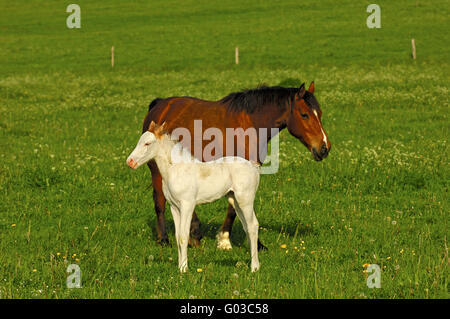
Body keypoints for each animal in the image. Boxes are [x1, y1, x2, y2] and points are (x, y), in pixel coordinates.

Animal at [126, 122, 262, 272]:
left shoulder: (187, 205)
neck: (175, 170)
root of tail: (253, 167)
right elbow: (177, 236)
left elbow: (184, 236)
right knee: (248, 227)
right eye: (139, 141)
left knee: (252, 226)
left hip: (245, 200)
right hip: (235, 200)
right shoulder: (174, 207)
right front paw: (180, 266)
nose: (130, 162)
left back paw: (254, 267)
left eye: (147, 143)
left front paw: (184, 269)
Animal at [141, 82, 330, 250]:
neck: (249, 125)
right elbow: (235, 208)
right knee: (159, 201)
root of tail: (160, 105)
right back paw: (164, 239)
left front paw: (249, 242)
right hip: (157, 170)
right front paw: (226, 240)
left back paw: (194, 233)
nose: (324, 148)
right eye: (304, 114)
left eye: (319, 113)